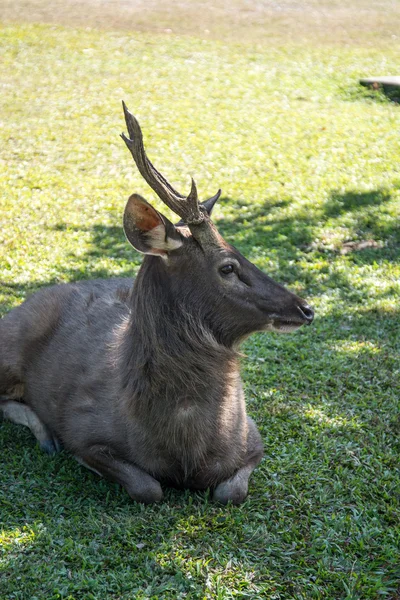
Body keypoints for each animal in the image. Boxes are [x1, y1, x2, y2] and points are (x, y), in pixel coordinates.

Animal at [0, 103, 314, 502]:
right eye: (228, 266)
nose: (306, 308)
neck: (185, 451)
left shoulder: (253, 435)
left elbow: (231, 491)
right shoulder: (83, 427)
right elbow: (147, 486)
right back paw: (46, 437)